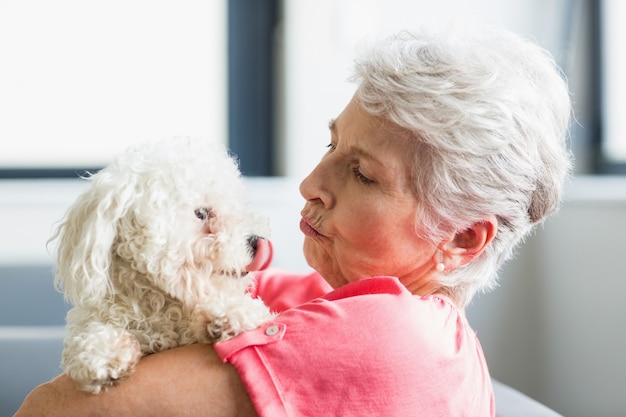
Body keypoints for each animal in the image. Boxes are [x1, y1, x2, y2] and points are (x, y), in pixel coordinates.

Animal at [50, 138, 272, 392]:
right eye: (201, 213)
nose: (257, 241)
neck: (158, 305)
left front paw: (228, 313)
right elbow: (87, 340)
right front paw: (104, 353)